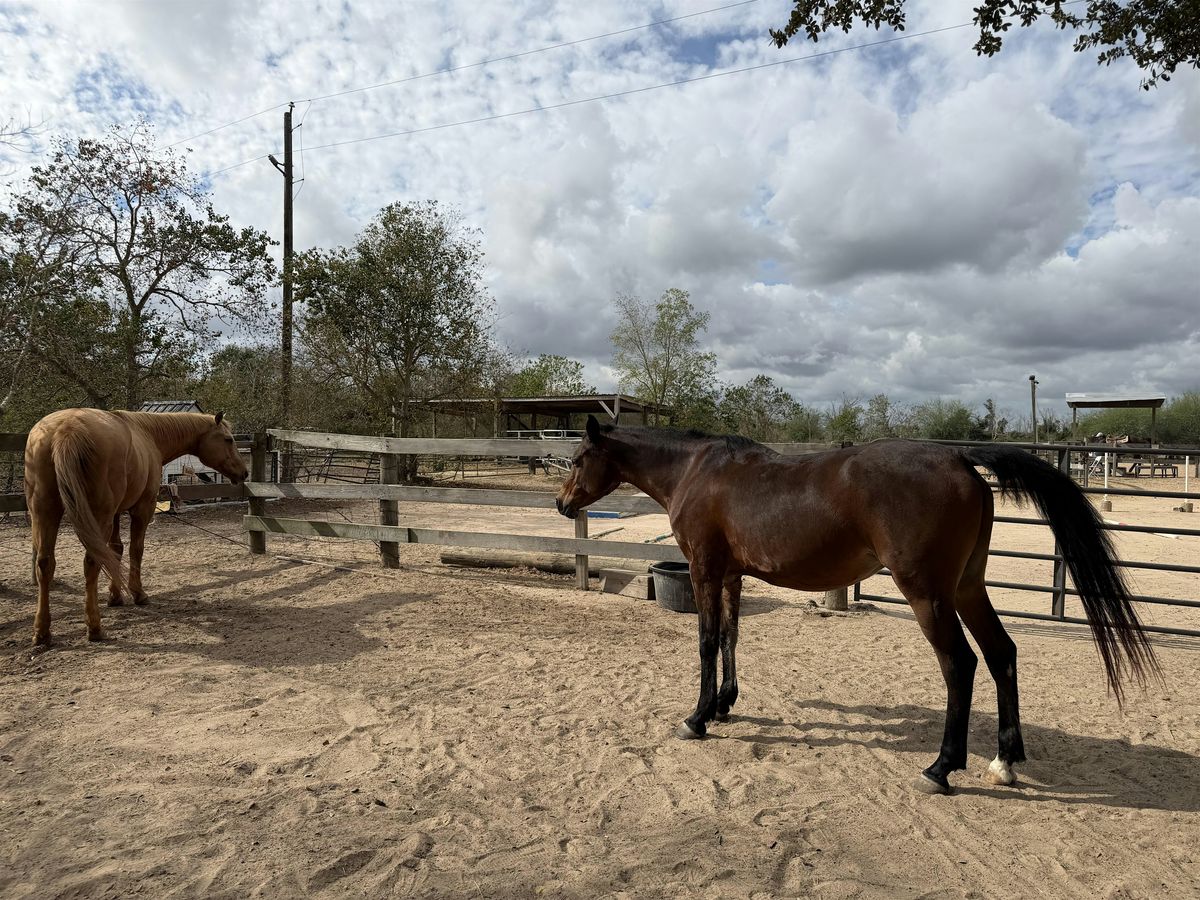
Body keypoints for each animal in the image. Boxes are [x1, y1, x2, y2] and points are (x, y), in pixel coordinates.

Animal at [24, 409, 249, 647]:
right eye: (228, 439)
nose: (244, 473)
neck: (149, 434)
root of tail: (65, 430)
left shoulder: (116, 513)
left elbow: (115, 550)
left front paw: (115, 596)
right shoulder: (142, 509)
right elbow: (135, 550)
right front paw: (138, 593)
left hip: (45, 513)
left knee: (45, 564)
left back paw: (42, 632)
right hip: (95, 516)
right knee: (92, 562)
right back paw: (94, 628)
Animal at [555, 415, 1159, 795]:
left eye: (579, 458)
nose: (562, 505)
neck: (698, 472)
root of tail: (957, 456)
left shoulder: (705, 570)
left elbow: (706, 641)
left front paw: (698, 717)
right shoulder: (729, 575)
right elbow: (729, 636)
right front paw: (725, 703)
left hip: (928, 595)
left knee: (960, 664)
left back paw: (941, 768)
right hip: (967, 587)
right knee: (1001, 654)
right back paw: (1004, 761)